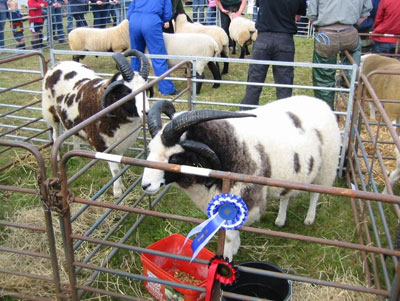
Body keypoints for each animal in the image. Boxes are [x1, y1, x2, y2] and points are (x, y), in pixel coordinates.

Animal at [42, 49, 150, 197]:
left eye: (146, 88)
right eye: (126, 91)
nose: (147, 111)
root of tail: (59, 63)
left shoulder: (119, 143)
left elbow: (119, 165)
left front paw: (121, 185)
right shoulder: (103, 146)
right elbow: (115, 170)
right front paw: (117, 192)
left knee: (74, 134)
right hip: (50, 112)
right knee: (55, 134)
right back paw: (57, 156)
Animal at [141, 95, 340, 258]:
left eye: (174, 157)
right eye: (150, 149)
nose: (145, 186)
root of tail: (320, 102)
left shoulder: (244, 197)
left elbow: (229, 235)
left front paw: (227, 257)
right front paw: (235, 248)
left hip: (326, 168)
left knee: (315, 194)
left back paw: (309, 218)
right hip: (291, 175)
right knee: (286, 195)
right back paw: (280, 220)